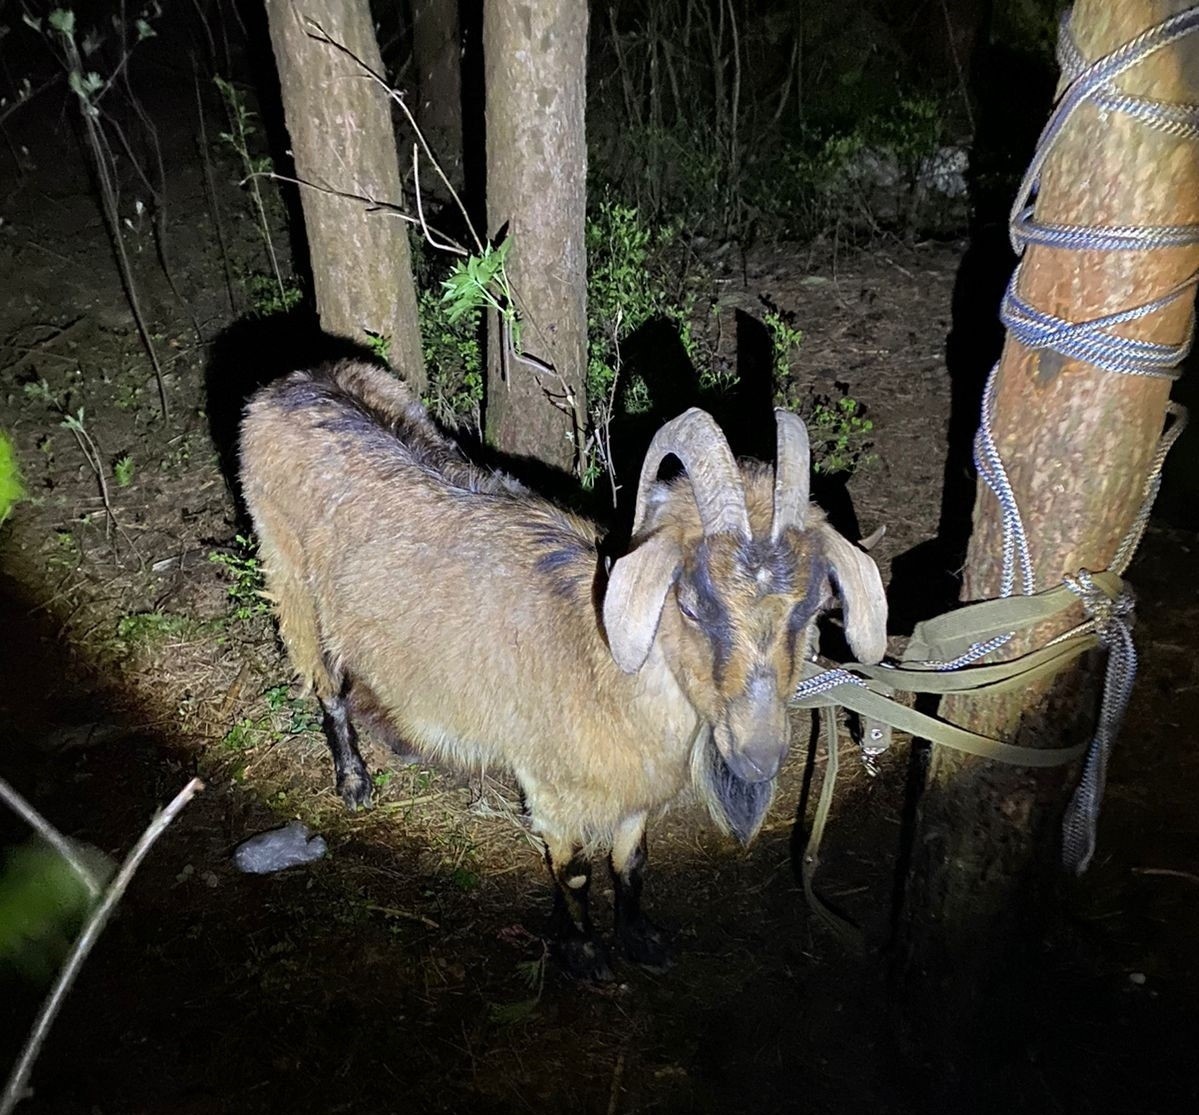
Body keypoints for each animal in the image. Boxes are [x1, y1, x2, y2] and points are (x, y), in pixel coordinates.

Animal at [238, 359, 887, 978]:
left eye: (812, 606)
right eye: (689, 604)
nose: (760, 756)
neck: (599, 658)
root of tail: (292, 384)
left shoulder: (634, 787)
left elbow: (632, 861)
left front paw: (640, 940)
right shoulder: (551, 784)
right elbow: (574, 870)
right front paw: (584, 951)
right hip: (290, 574)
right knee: (326, 682)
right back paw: (354, 781)